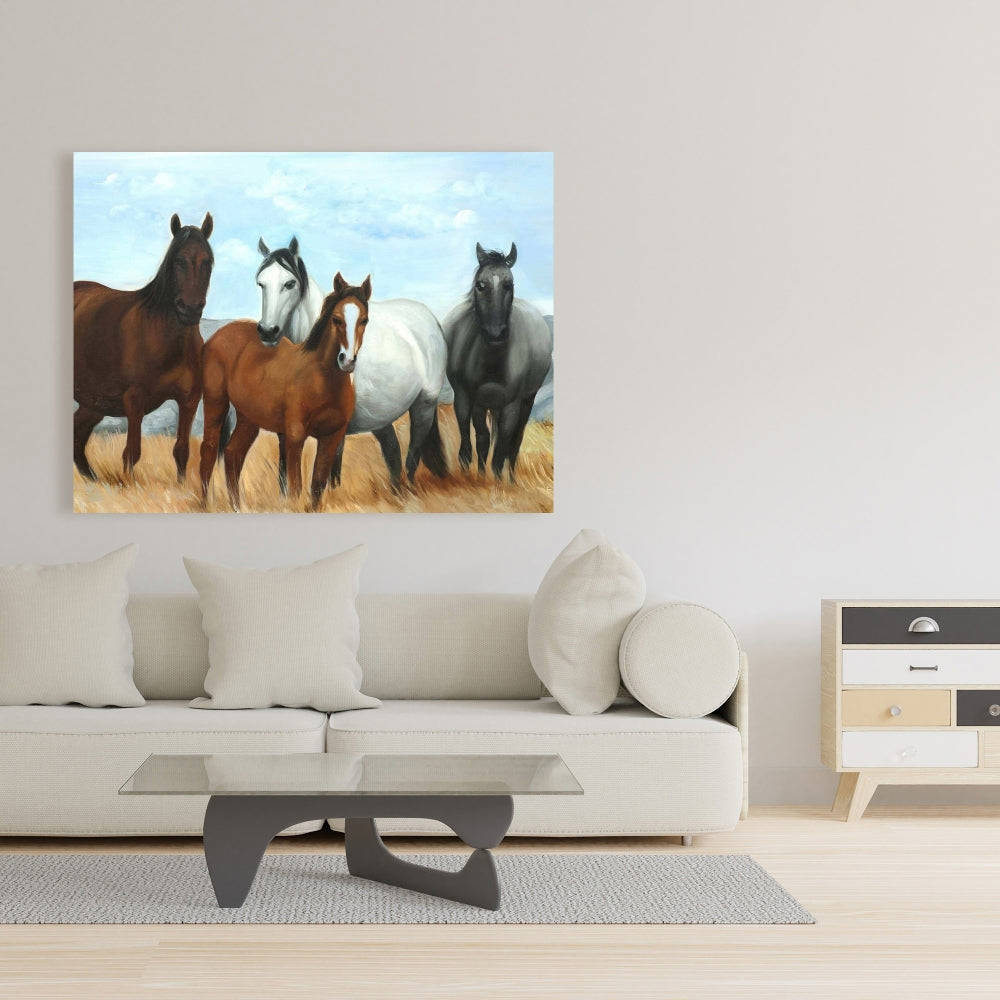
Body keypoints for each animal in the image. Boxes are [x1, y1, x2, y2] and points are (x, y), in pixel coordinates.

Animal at [73, 212, 214, 480]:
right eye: (178, 261)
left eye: (208, 261)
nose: (190, 310)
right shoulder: (134, 400)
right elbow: (132, 453)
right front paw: (129, 484)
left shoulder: (189, 400)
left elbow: (181, 451)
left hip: (93, 402)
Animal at [199, 273, 369, 510]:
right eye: (336, 319)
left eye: (364, 320)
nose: (347, 361)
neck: (323, 380)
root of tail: (218, 336)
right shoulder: (295, 437)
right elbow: (295, 486)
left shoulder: (331, 437)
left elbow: (317, 485)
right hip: (216, 402)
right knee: (209, 449)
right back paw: (206, 504)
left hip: (248, 418)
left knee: (233, 454)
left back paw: (237, 506)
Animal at [250, 237, 449, 492]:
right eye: (261, 283)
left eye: (290, 283)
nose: (267, 331)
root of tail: (431, 319)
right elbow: (285, 472)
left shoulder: (337, 427)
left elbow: (330, 470)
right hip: (381, 418)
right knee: (393, 453)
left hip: (424, 404)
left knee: (412, 456)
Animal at [442, 243, 553, 482]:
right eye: (480, 285)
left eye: (508, 284)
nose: (495, 334)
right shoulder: (475, 400)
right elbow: (481, 439)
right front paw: (480, 475)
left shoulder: (512, 404)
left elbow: (504, 442)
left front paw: (498, 478)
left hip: (526, 401)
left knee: (515, 439)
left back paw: (510, 476)